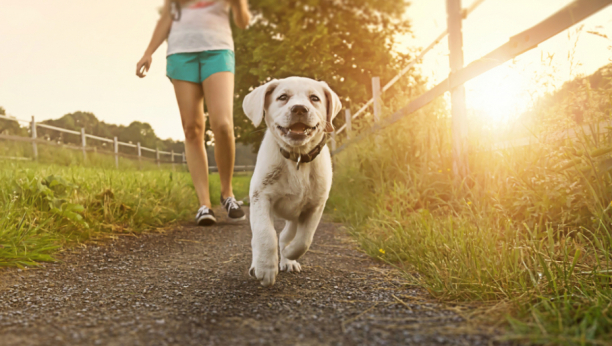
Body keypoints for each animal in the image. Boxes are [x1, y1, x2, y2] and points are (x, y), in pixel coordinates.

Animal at [241, 76, 342, 286]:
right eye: (282, 97)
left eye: (314, 98)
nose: (299, 109)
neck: (297, 158)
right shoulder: (260, 197)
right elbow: (265, 234)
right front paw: (265, 268)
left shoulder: (315, 207)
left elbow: (305, 239)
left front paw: (289, 254)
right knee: (263, 237)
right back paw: (258, 264)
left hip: (294, 218)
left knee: (286, 235)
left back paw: (288, 260)